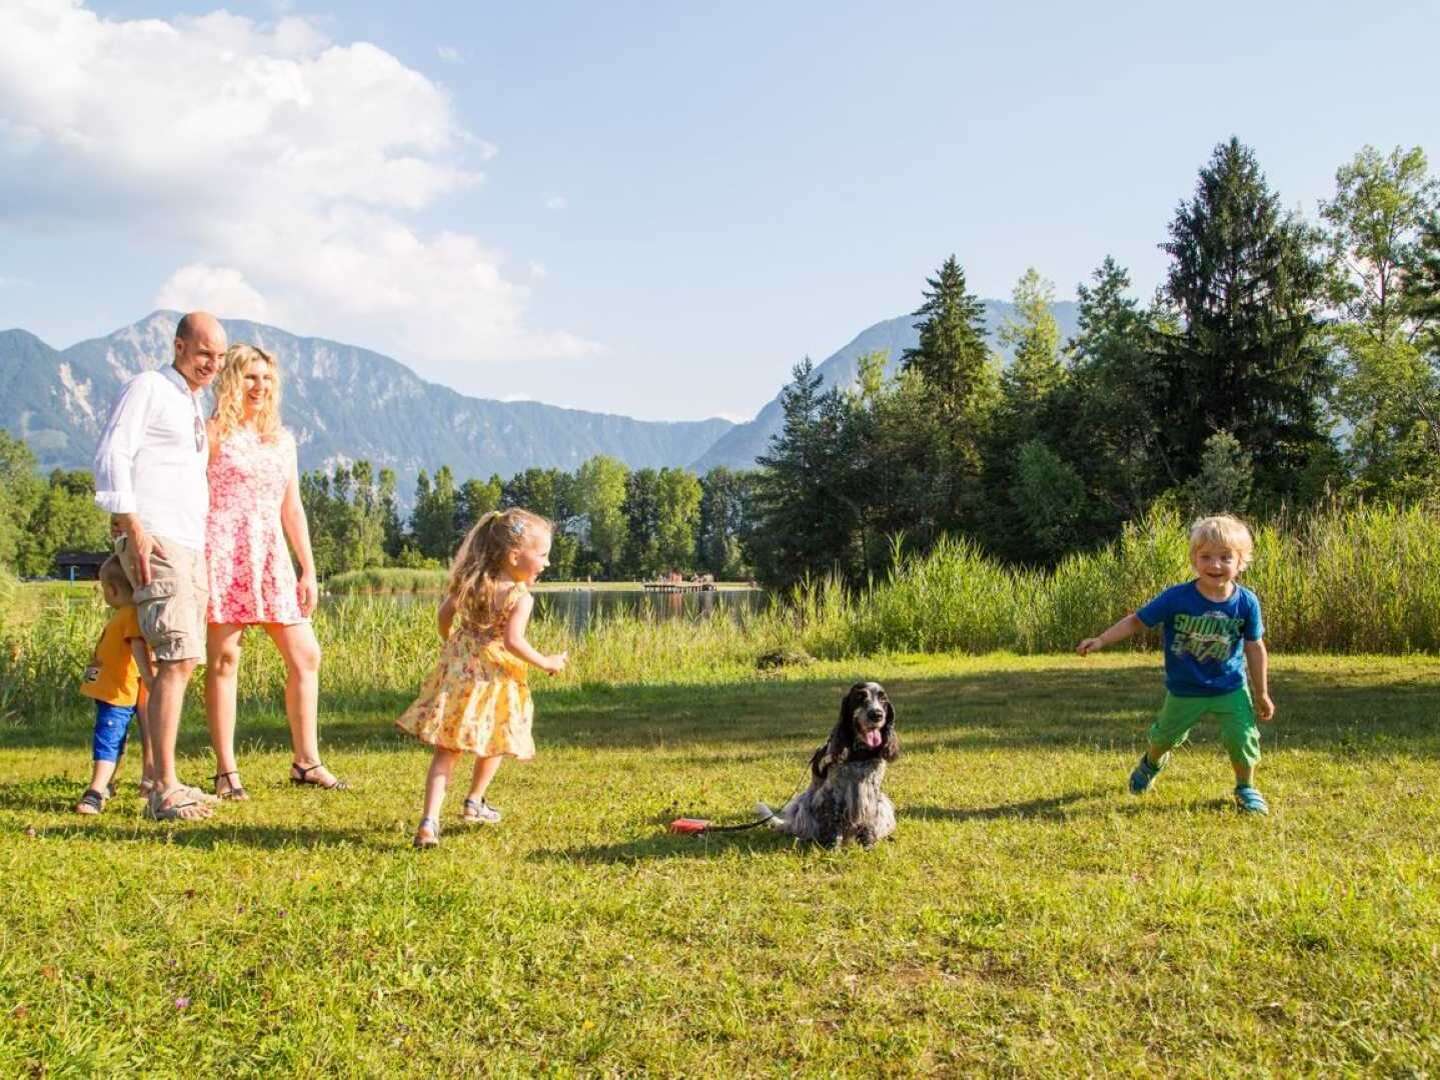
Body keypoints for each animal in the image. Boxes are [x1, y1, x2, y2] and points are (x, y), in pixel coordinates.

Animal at [760, 685, 892, 846]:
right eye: (860, 697)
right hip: (803, 805)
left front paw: (868, 844)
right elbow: (834, 820)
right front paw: (833, 846)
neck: (859, 752)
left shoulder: (872, 791)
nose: (877, 714)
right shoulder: (833, 792)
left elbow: (870, 821)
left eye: (883, 699)